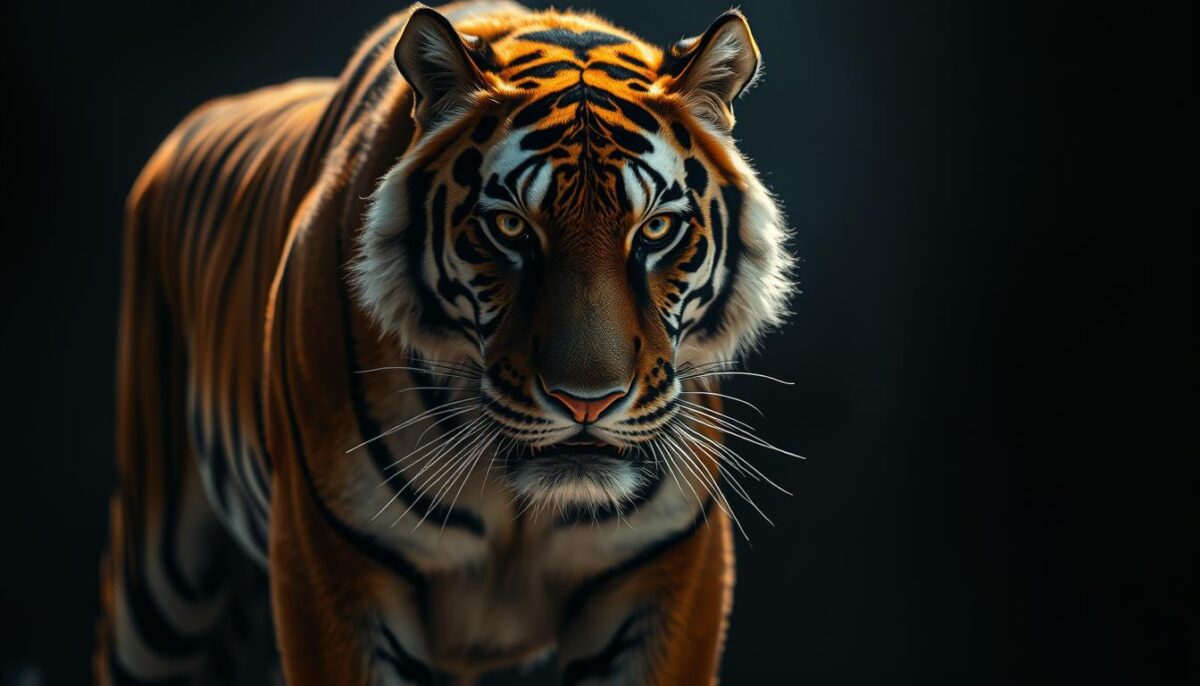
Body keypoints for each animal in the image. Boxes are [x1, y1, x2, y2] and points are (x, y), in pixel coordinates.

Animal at [95, 1, 793, 684]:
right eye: (509, 227)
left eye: (655, 229)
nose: (586, 402)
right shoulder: (333, 572)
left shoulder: (665, 576)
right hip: (159, 595)